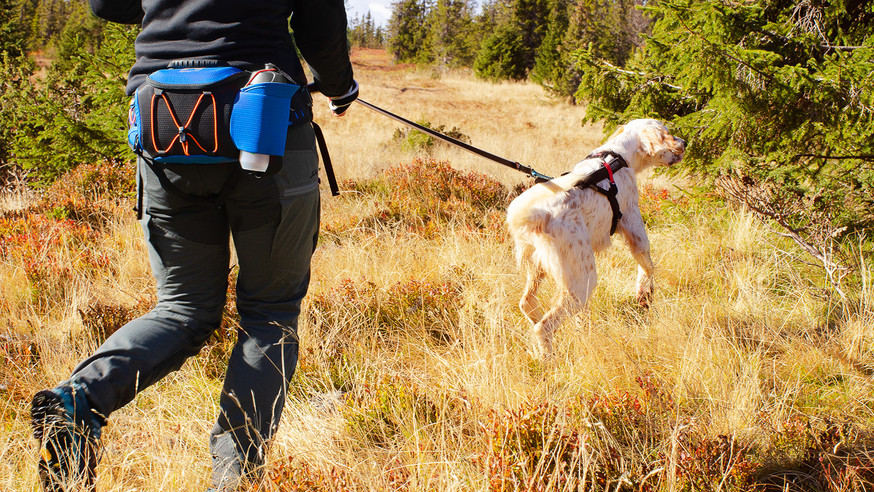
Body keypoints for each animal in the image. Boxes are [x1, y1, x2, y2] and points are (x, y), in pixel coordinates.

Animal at [504, 119, 688, 358]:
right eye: (668, 133)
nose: (685, 142)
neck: (618, 155)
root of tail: (534, 216)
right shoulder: (633, 222)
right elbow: (647, 264)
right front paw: (644, 294)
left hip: (540, 267)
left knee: (527, 303)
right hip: (583, 279)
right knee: (544, 326)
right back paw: (549, 359)